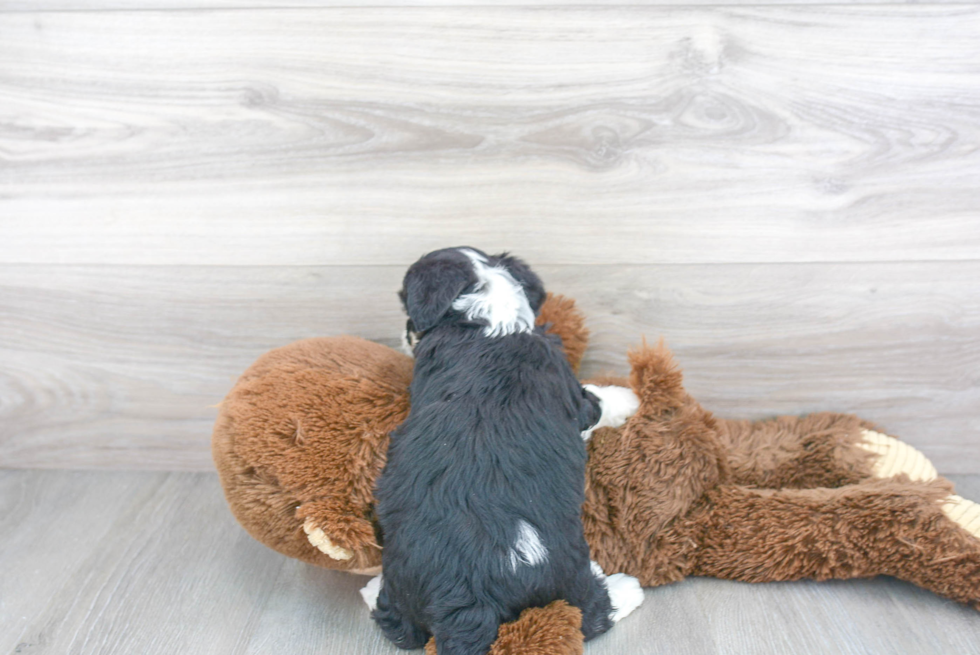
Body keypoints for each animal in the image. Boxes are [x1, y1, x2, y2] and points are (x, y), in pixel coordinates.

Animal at [364, 247, 640, 655]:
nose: (404, 334)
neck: (488, 319)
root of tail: (470, 600)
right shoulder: (575, 398)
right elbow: (598, 400)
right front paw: (629, 398)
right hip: (569, 573)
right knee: (591, 613)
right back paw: (628, 588)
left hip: (406, 577)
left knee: (399, 625)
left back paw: (370, 589)